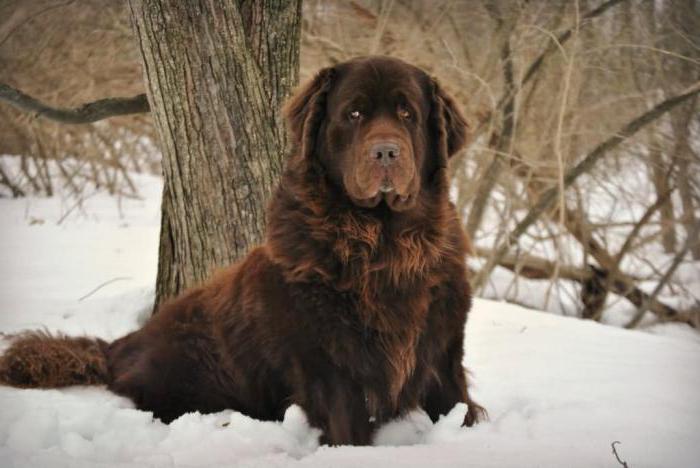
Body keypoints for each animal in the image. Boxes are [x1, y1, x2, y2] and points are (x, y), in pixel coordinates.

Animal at [0, 55, 486, 446]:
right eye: (354, 113)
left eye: (407, 112)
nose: (386, 152)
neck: (382, 243)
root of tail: (120, 343)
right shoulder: (328, 366)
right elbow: (348, 428)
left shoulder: (443, 350)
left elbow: (460, 406)